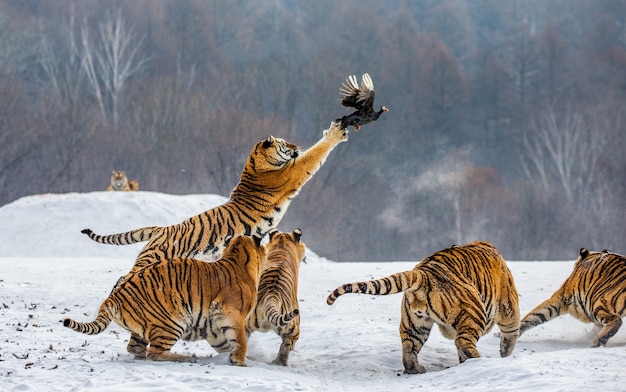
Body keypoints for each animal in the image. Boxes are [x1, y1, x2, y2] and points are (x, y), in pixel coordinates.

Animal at [63, 234, 266, 366]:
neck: (236, 258)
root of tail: (114, 295)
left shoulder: (214, 325)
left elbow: (223, 342)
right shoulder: (230, 314)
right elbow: (240, 339)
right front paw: (240, 361)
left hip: (143, 327)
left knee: (135, 348)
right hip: (173, 322)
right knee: (155, 353)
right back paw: (187, 357)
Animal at [324, 242, 520, 374]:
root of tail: (422, 272)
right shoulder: (509, 307)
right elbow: (511, 334)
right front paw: (506, 355)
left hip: (415, 324)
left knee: (409, 348)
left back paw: (415, 368)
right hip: (474, 312)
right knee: (463, 342)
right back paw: (479, 360)